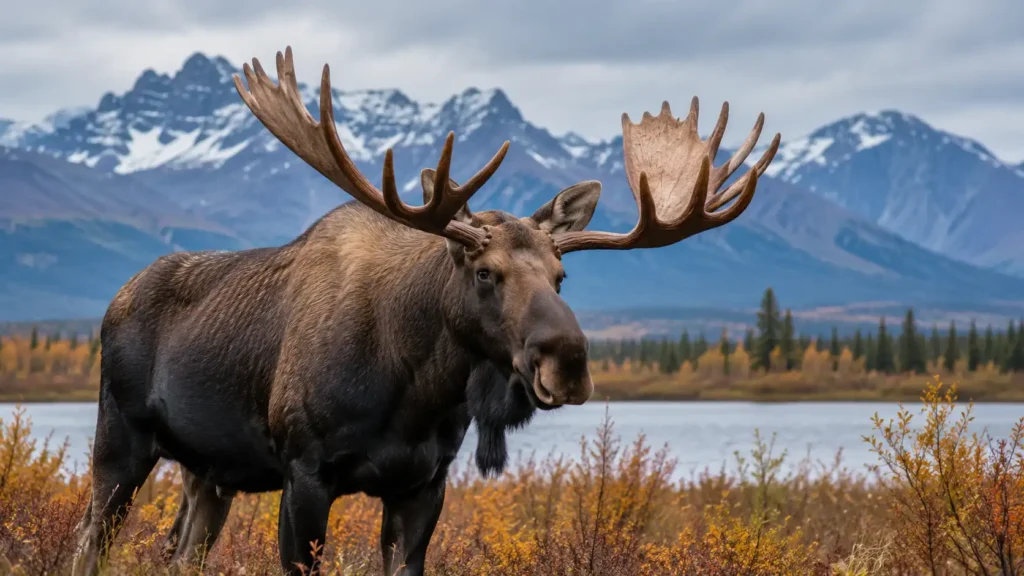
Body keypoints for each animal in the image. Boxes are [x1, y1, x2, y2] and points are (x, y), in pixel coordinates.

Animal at [70, 46, 779, 576]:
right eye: (486, 272)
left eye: (561, 276)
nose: (569, 363)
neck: (412, 389)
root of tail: (115, 300)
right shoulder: (305, 473)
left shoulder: (422, 484)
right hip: (121, 441)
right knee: (87, 544)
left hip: (209, 472)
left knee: (177, 550)